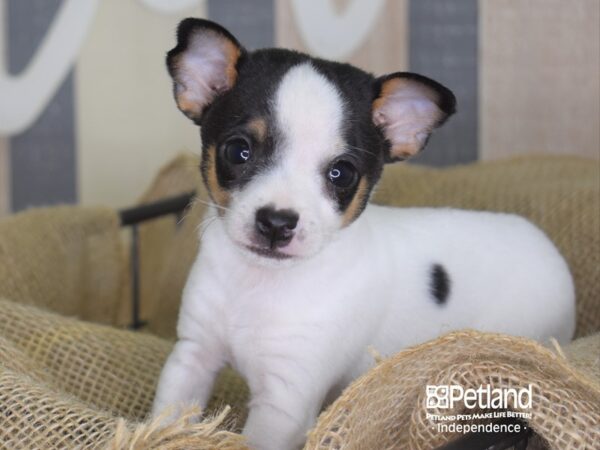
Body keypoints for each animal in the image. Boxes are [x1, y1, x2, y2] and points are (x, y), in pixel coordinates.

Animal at [151, 17, 576, 450]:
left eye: (341, 173)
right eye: (238, 151)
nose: (276, 222)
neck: (259, 284)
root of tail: (546, 244)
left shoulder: (283, 404)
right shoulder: (193, 357)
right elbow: (167, 418)